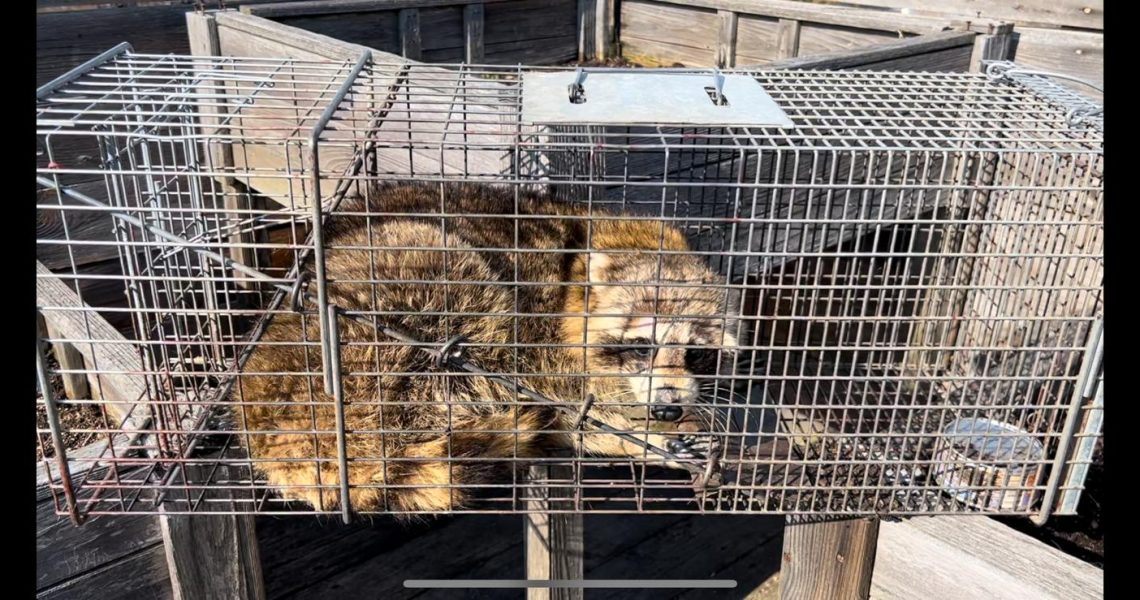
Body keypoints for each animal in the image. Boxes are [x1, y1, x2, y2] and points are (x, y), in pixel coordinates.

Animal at [238, 182, 739, 515]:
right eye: (641, 347)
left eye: (696, 353)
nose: (668, 409)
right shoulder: (543, 341)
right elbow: (571, 408)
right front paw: (638, 434)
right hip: (398, 302)